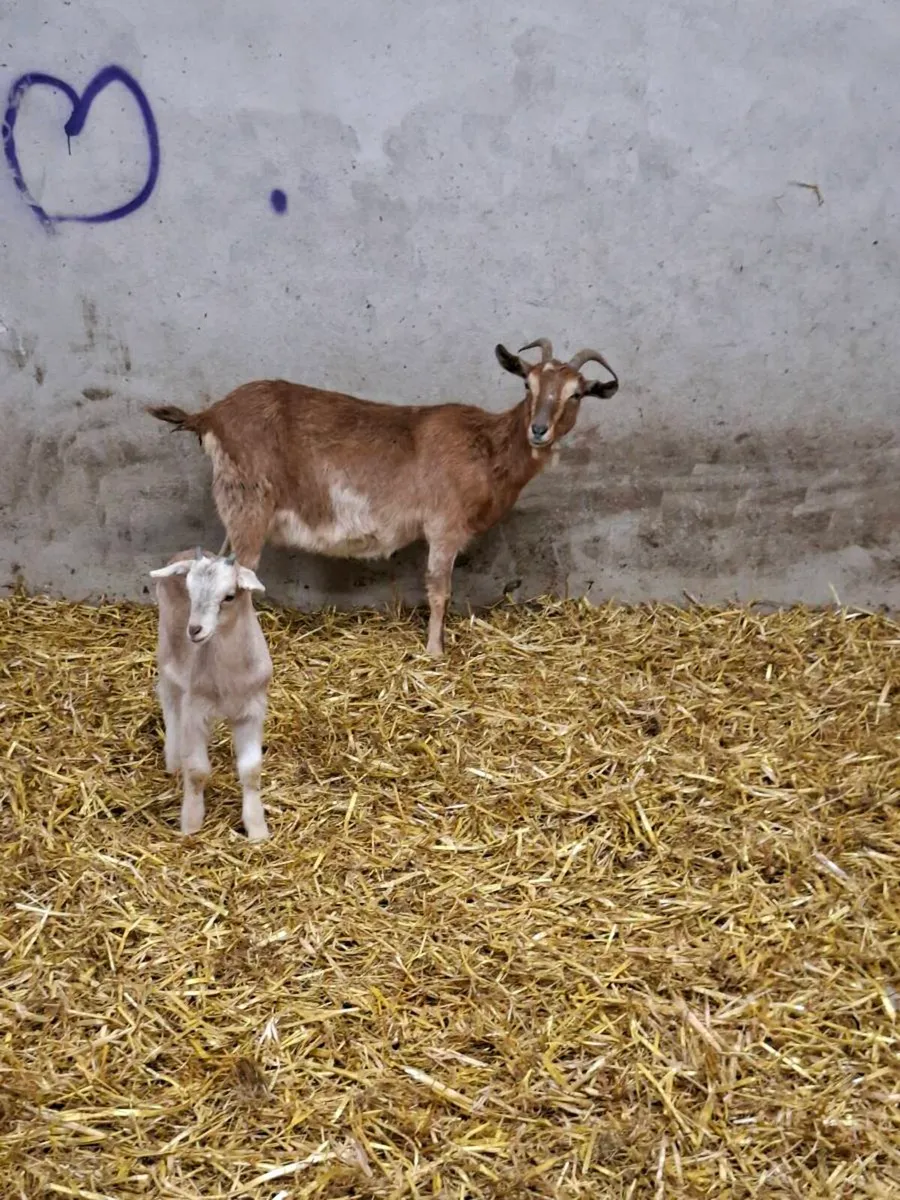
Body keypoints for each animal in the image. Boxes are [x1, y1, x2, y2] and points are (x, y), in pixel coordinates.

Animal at [147, 338, 619, 657]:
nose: (538, 430)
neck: (485, 446)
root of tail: (209, 415)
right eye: (527, 384)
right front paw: (434, 652)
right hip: (249, 505)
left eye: (577, 393)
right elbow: (439, 589)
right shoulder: (444, 524)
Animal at [150, 546, 272, 841]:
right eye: (190, 592)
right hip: (166, 654)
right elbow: (197, 771)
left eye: (229, 596)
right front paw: (191, 824)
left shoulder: (253, 710)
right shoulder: (195, 710)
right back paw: (174, 760)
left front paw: (257, 830)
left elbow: (251, 770)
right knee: (170, 705)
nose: (194, 630)